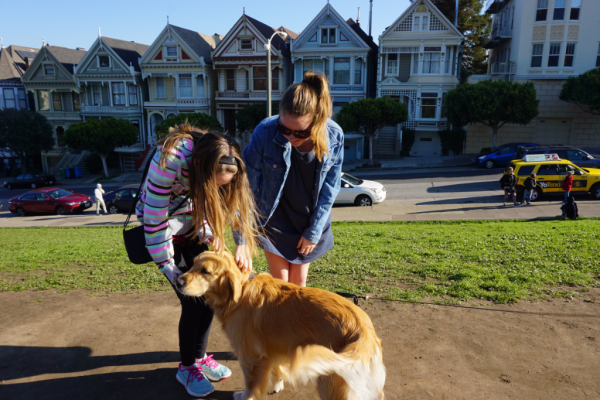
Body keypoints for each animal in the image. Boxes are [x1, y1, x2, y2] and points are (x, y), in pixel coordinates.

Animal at [176, 252, 386, 398]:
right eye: (192, 264)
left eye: (205, 271)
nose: (177, 281)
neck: (239, 293)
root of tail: (363, 331)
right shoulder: (274, 348)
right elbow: (276, 369)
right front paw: (277, 385)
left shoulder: (250, 359)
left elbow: (250, 387)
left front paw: (244, 396)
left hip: (329, 383)